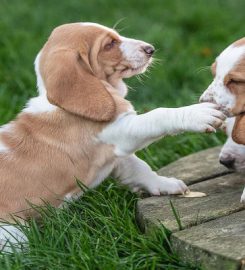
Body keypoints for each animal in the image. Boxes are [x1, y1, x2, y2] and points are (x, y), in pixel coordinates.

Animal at [0, 22, 224, 251]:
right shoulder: (122, 132)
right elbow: (159, 115)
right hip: (12, 233)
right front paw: (197, 113)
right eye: (109, 45)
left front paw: (165, 185)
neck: (61, 107)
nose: (150, 49)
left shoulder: (118, 158)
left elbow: (141, 170)